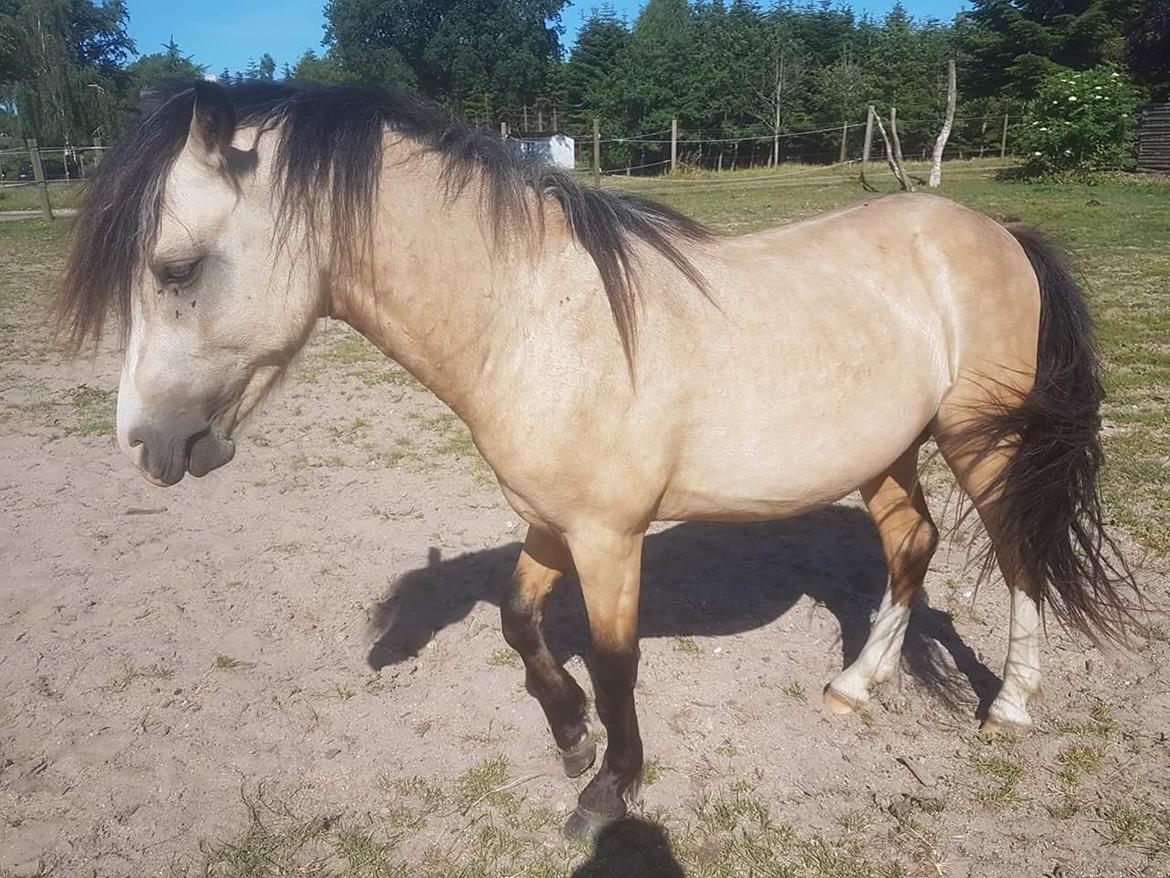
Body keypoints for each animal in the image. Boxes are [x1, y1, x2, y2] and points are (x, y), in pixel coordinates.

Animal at [57, 80, 1136, 841]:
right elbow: (518, 619)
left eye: (176, 267)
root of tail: (995, 232)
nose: (147, 443)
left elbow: (618, 663)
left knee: (1019, 555)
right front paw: (570, 735)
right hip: (889, 454)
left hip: (982, 441)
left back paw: (1009, 706)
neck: (536, 317)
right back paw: (854, 686)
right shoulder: (550, 520)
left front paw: (608, 792)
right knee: (912, 546)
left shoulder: (611, 536)